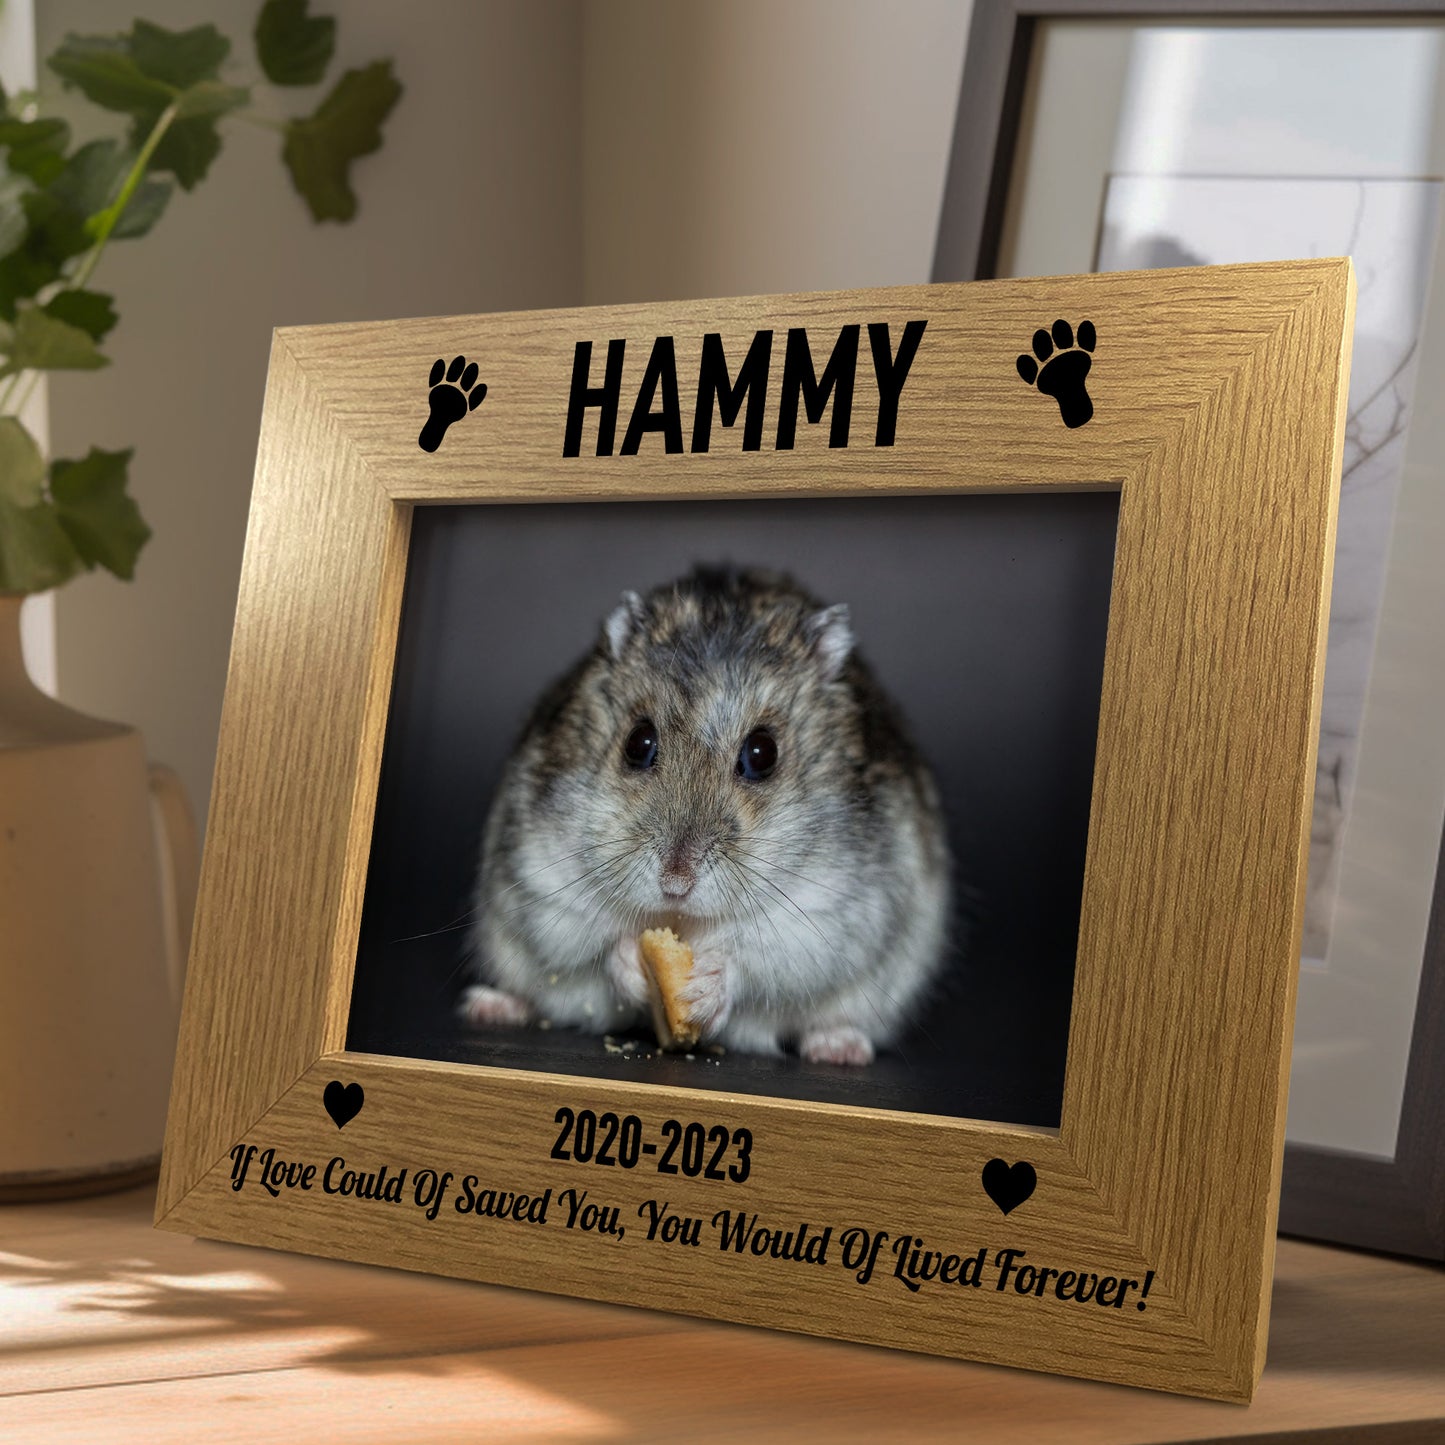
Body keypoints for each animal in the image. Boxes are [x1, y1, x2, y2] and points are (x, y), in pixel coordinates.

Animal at [458, 565, 951, 1066]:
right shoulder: (544, 880)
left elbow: (755, 958)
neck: (683, 921)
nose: (675, 885)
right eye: (638, 742)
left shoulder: (830, 914)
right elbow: (596, 943)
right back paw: (489, 1005)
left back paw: (839, 1048)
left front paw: (701, 989)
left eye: (762, 753)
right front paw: (633, 962)